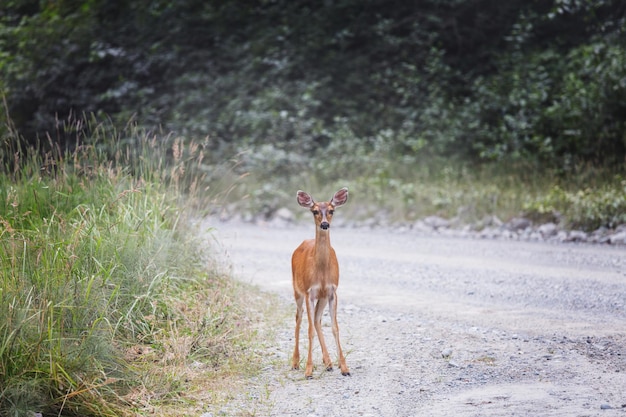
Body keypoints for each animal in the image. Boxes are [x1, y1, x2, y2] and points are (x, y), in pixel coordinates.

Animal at [290, 187, 348, 378]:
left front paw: (344, 368)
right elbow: (308, 330)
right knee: (299, 318)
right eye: (314, 211)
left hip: (321, 298)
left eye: (331, 210)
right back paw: (295, 362)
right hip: (297, 291)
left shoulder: (331, 292)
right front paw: (308, 370)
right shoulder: (310, 292)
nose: (324, 224)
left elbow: (335, 328)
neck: (322, 272)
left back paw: (328, 362)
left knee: (317, 320)